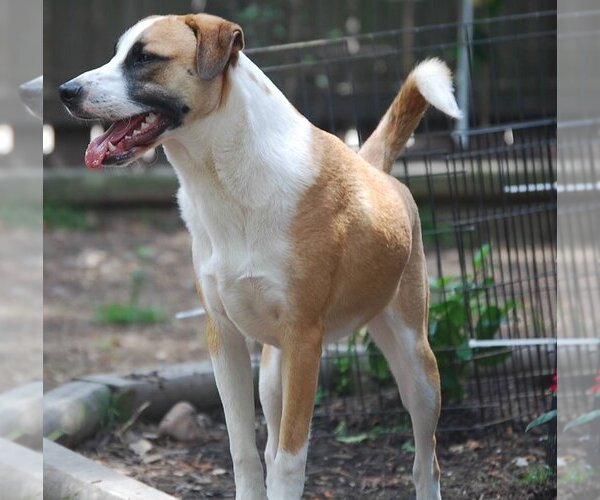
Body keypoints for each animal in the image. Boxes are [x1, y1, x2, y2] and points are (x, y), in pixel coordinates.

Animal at [59, 12, 460, 500]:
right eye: (117, 53)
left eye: (145, 57)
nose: (65, 91)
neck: (230, 179)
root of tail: (374, 168)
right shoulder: (224, 338)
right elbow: (245, 451)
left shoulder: (305, 342)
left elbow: (290, 461)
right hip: (271, 375)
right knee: (269, 444)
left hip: (417, 367)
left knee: (426, 459)